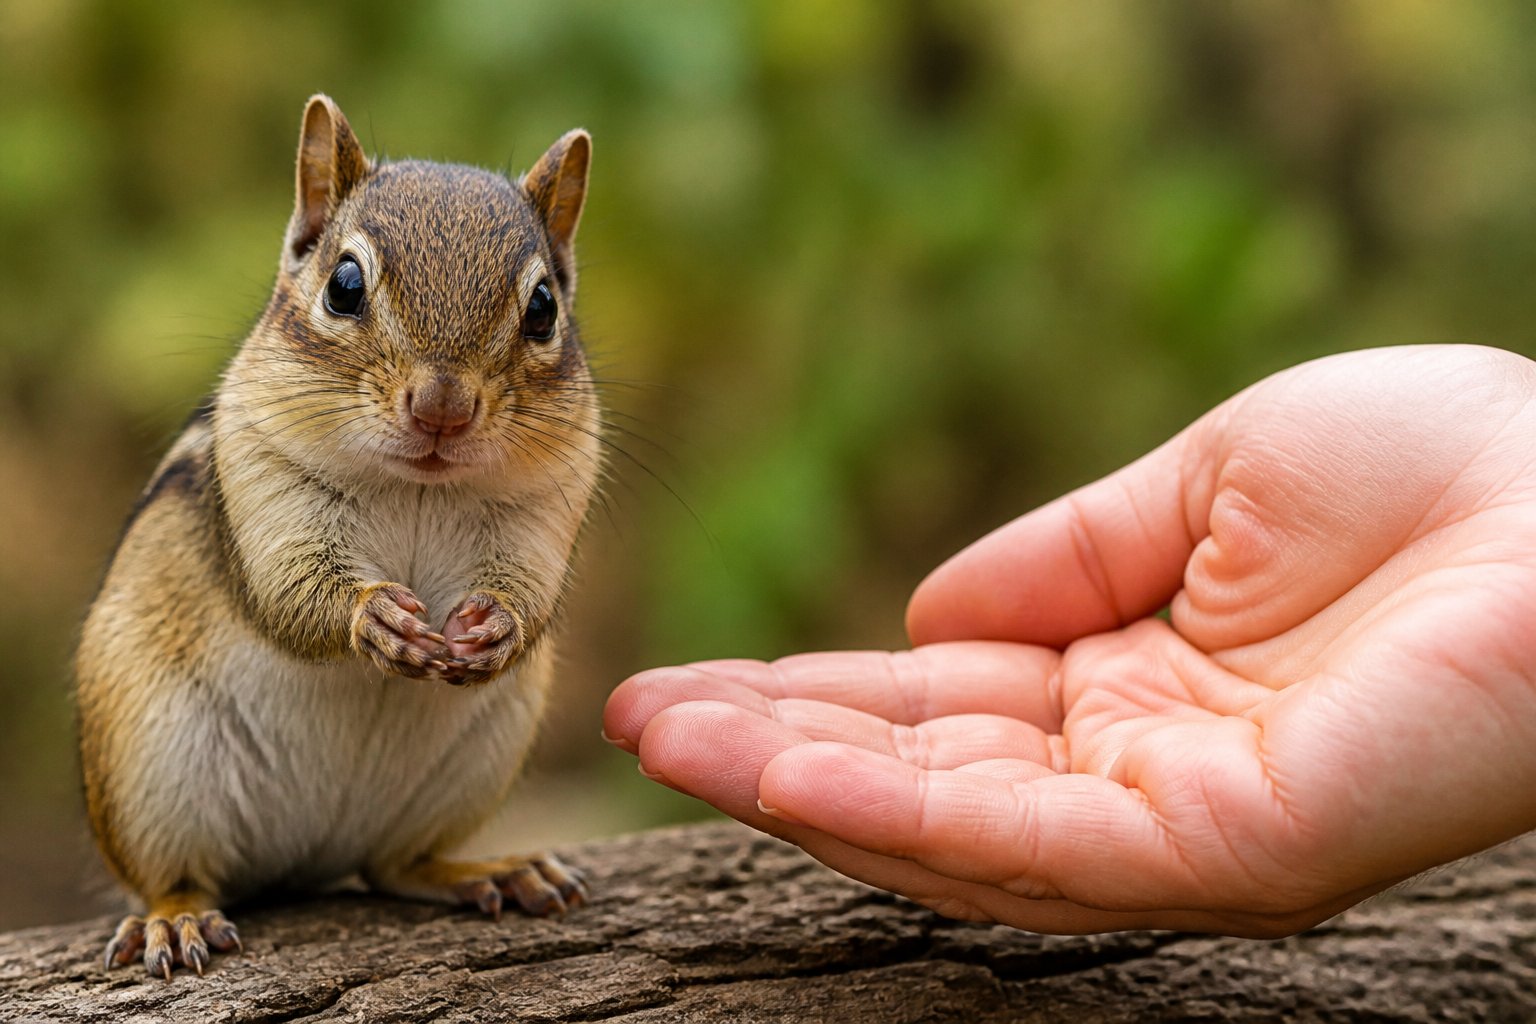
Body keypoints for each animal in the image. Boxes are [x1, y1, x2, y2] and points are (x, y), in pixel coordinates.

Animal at [74, 95, 603, 979]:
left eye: (542, 310)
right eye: (345, 286)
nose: (442, 407)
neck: (420, 486)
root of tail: (307, 856)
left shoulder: (544, 506)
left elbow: (528, 592)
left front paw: (495, 627)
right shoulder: (265, 482)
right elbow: (291, 592)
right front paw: (375, 617)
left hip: (475, 762)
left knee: (395, 865)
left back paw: (494, 871)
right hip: (147, 767)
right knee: (172, 877)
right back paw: (173, 921)